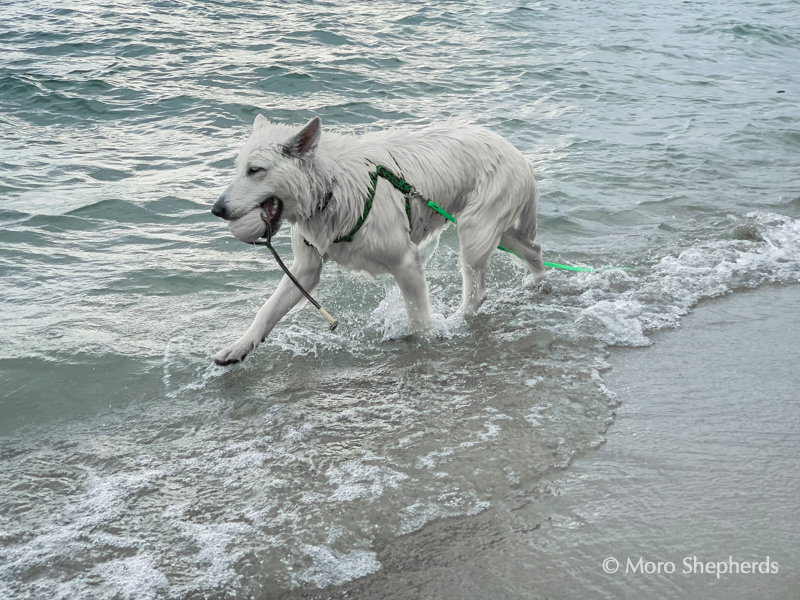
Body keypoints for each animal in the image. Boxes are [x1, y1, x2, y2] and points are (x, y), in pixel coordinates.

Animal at [209, 115, 544, 364]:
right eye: (238, 169)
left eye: (255, 170)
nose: (216, 210)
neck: (331, 187)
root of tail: (521, 157)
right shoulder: (305, 270)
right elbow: (267, 310)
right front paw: (239, 347)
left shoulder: (406, 263)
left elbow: (420, 321)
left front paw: (427, 343)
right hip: (492, 230)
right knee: (533, 249)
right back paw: (539, 282)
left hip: (474, 231)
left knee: (477, 292)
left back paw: (456, 322)